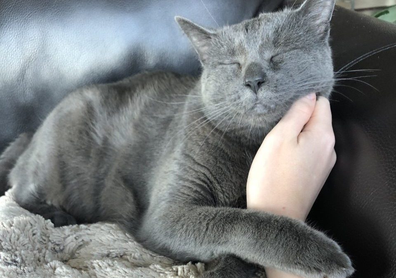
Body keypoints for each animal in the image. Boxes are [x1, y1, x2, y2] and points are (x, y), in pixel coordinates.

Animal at [0, 0, 352, 276]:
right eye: (232, 64)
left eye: (278, 55)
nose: (254, 80)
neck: (252, 146)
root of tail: (31, 137)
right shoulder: (167, 214)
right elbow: (242, 222)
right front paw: (322, 254)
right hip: (61, 148)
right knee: (21, 188)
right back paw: (58, 214)